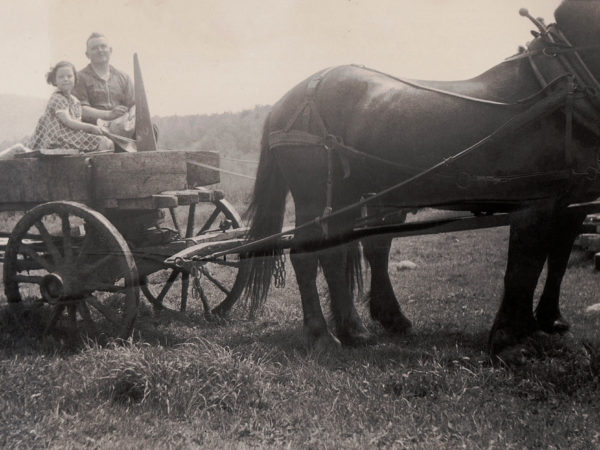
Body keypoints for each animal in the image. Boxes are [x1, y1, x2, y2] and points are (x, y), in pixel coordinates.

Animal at [240, 0, 600, 356]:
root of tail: (285, 103)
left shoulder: (572, 203)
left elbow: (556, 259)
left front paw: (548, 322)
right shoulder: (534, 201)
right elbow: (523, 269)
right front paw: (510, 339)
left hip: (345, 195)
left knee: (334, 254)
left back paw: (355, 330)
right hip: (314, 196)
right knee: (305, 256)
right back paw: (321, 335)